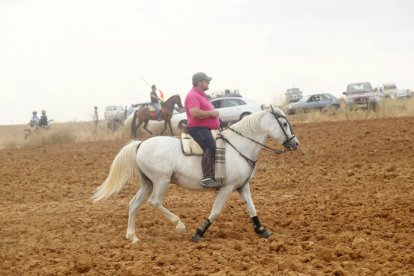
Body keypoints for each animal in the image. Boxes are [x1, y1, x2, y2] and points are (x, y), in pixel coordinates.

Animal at [92, 106, 300, 243]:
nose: (295, 143)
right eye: (283, 123)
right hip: (161, 181)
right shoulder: (227, 188)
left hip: (148, 183)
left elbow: (252, 208)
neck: (238, 146)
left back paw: (133, 237)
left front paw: (262, 230)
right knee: (155, 202)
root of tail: (141, 144)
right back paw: (179, 225)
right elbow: (215, 212)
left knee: (134, 204)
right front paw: (198, 233)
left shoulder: (242, 186)